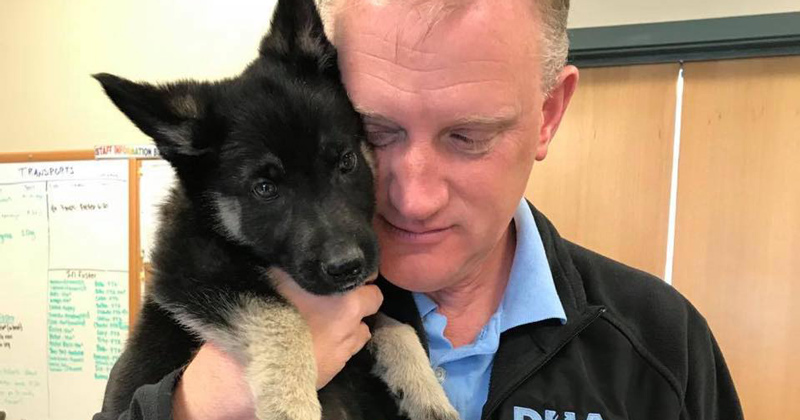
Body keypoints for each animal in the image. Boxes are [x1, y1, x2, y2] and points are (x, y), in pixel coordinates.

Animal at [93, 0, 460, 420]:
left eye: (346, 161)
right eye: (265, 189)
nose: (347, 267)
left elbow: (397, 326)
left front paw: (427, 392)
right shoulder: (187, 273)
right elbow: (283, 318)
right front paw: (292, 404)